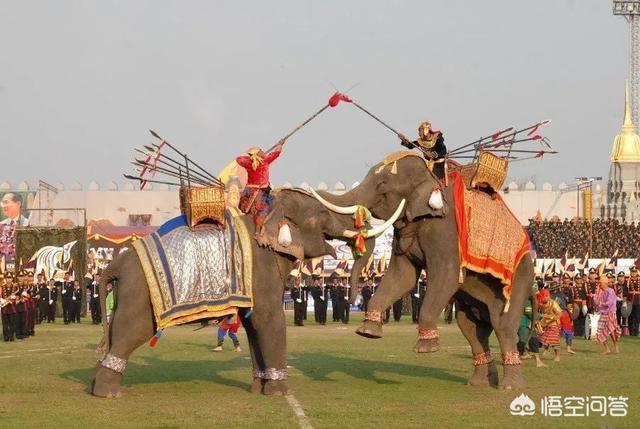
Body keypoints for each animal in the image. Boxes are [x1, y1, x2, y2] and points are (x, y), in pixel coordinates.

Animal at [89, 189, 400, 396]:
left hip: (127, 294)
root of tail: (117, 262)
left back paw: (96, 385)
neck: (267, 215)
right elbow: (269, 320)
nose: (354, 298)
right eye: (322, 214)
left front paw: (259, 389)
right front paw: (280, 393)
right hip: (140, 293)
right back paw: (109, 393)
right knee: (131, 332)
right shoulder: (261, 269)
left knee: (117, 330)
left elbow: (254, 326)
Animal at [312, 152, 532, 390]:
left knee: (503, 325)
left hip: (520, 279)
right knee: (471, 326)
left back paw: (510, 387)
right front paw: (368, 332)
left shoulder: (445, 231)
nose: (352, 299)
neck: (432, 175)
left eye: (383, 184)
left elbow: (446, 275)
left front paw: (426, 349)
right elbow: (403, 277)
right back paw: (479, 383)